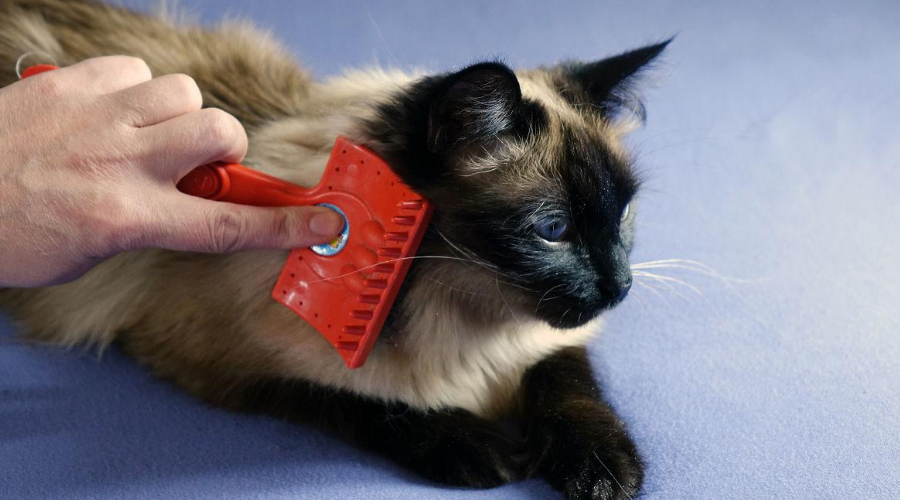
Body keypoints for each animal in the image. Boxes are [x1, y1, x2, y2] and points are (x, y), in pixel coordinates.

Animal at [0, 1, 668, 499]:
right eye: (552, 229)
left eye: (622, 214)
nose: (621, 286)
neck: (465, 326)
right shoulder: (210, 360)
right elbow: (364, 402)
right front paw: (482, 452)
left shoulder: (546, 346)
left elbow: (569, 386)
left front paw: (605, 472)